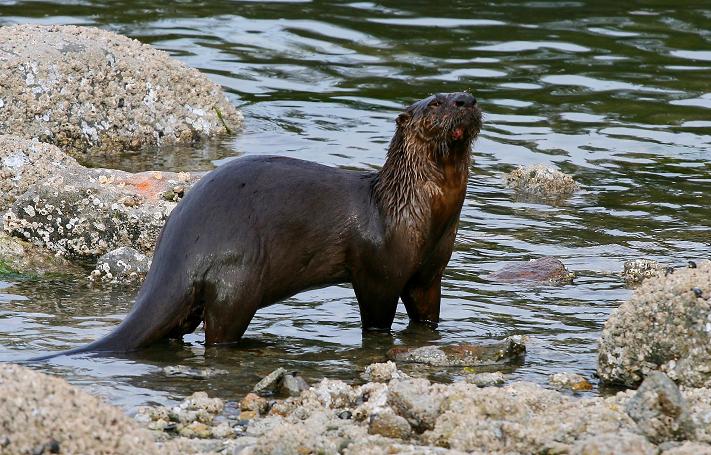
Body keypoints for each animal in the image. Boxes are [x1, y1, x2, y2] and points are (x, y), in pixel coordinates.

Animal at [36, 92, 481, 357]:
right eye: (436, 103)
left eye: (464, 95)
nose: (466, 99)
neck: (414, 212)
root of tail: (176, 252)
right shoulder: (377, 273)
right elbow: (375, 320)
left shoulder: (430, 272)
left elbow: (427, 311)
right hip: (238, 276)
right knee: (218, 334)